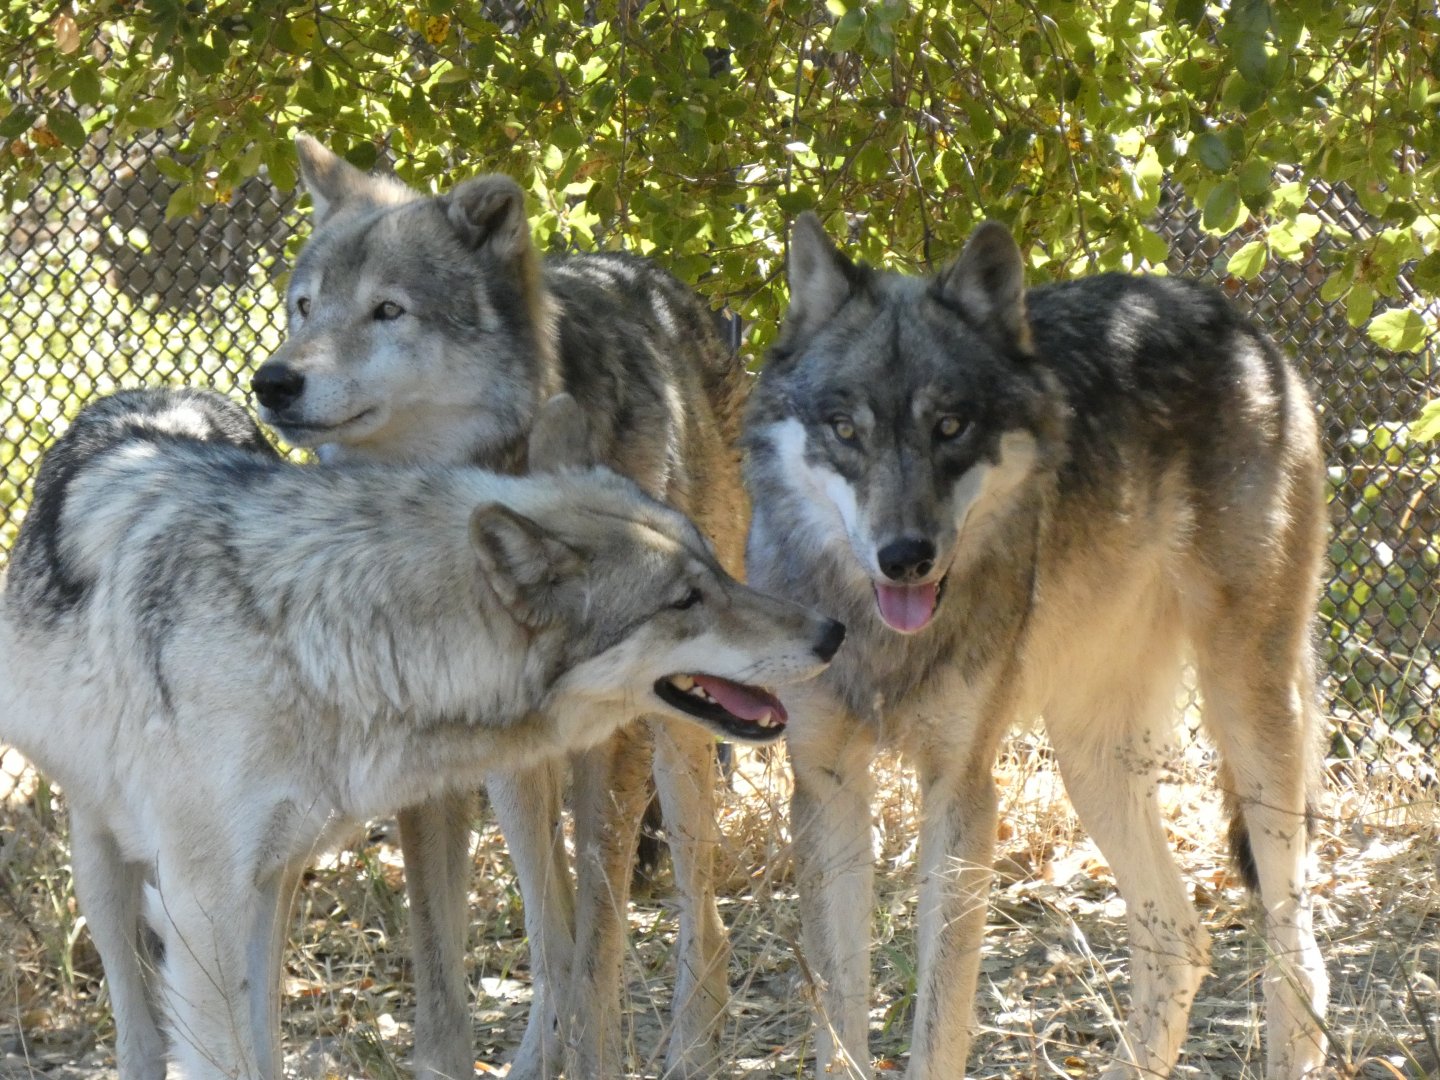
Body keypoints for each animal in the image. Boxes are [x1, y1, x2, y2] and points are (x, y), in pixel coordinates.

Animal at [0, 386, 843, 1080]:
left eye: (713, 570)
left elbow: (261, 1049)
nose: (832, 631)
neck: (312, 632)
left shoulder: (263, 880)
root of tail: (143, 393)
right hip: (105, 871)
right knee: (136, 1027)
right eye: (684, 600)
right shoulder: (199, 903)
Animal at [249, 135, 752, 1079]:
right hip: (513, 775)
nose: (274, 381)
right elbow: (445, 966)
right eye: (303, 307)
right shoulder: (428, 765)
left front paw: (598, 1060)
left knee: (695, 918)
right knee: (548, 929)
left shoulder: (615, 749)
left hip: (679, 743)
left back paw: (693, 1047)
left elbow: (601, 943)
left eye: (388, 311)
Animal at [742, 215, 1330, 1078]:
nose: (905, 556)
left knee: (1295, 953)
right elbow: (839, 1022)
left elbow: (940, 1018)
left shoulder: (961, 789)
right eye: (845, 430)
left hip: (1248, 714)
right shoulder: (825, 786)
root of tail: (1238, 324)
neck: (882, 643)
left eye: (951, 427)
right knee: (1181, 941)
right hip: (1092, 758)